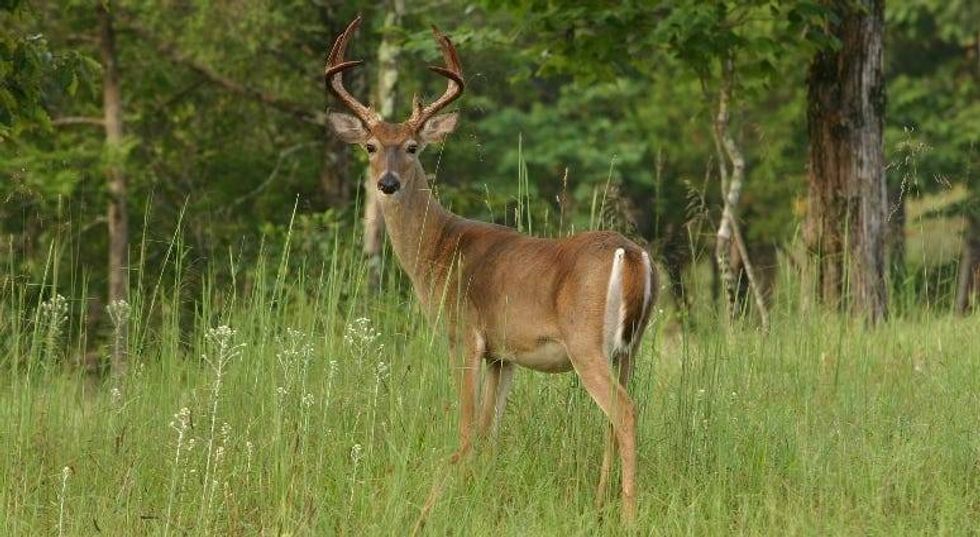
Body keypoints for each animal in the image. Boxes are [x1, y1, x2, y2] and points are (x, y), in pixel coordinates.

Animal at [325, 17, 657, 523]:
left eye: (413, 147)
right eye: (370, 146)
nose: (388, 183)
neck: (438, 250)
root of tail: (632, 254)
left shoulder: (464, 334)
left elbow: (466, 429)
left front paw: (437, 505)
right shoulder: (505, 355)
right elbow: (489, 431)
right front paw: (482, 492)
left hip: (586, 342)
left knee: (625, 412)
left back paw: (628, 514)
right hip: (631, 347)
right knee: (614, 417)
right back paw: (601, 503)